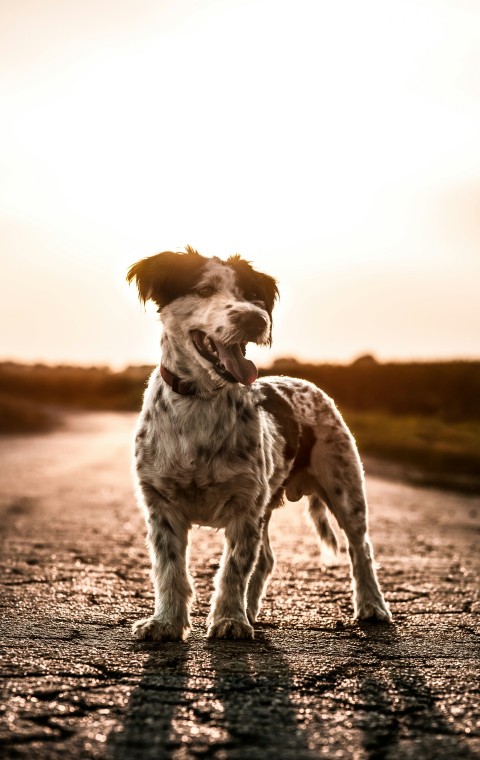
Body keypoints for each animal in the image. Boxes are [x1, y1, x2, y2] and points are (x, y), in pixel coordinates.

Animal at [126, 246, 390, 640]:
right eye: (204, 290)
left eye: (252, 296)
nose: (255, 318)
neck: (200, 399)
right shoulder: (162, 505)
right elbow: (170, 569)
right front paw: (167, 622)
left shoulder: (244, 508)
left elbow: (233, 568)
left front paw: (229, 620)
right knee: (265, 559)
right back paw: (251, 610)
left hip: (345, 489)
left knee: (361, 549)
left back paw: (372, 605)